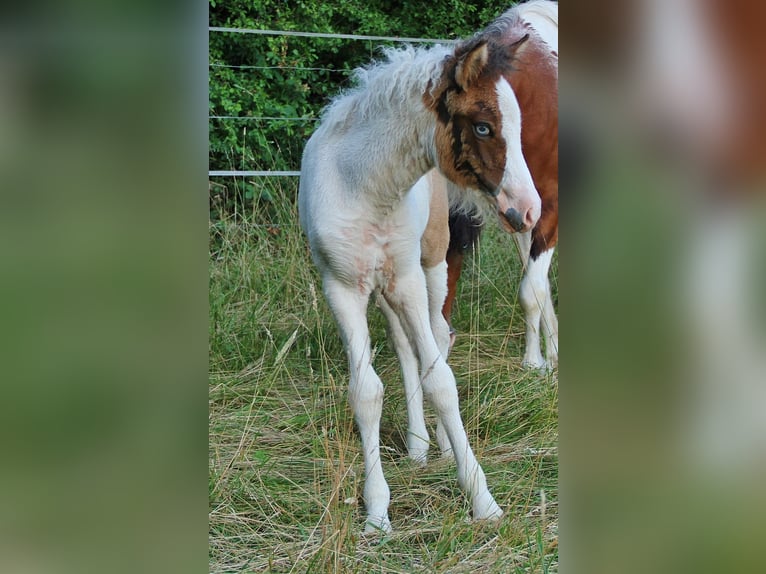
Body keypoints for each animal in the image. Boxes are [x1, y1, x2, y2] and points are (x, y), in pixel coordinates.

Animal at [298, 13, 540, 533]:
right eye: (484, 126)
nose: (529, 211)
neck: (365, 186)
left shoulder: (409, 278)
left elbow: (442, 381)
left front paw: (483, 501)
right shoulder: (342, 288)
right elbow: (367, 391)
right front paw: (377, 512)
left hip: (430, 265)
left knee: (439, 335)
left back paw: (441, 445)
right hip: (386, 288)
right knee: (407, 349)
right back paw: (417, 446)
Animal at [440, 0, 559, 370]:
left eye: (482, 127)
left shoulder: (549, 206)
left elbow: (531, 291)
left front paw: (534, 363)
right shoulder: (517, 212)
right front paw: (551, 354)